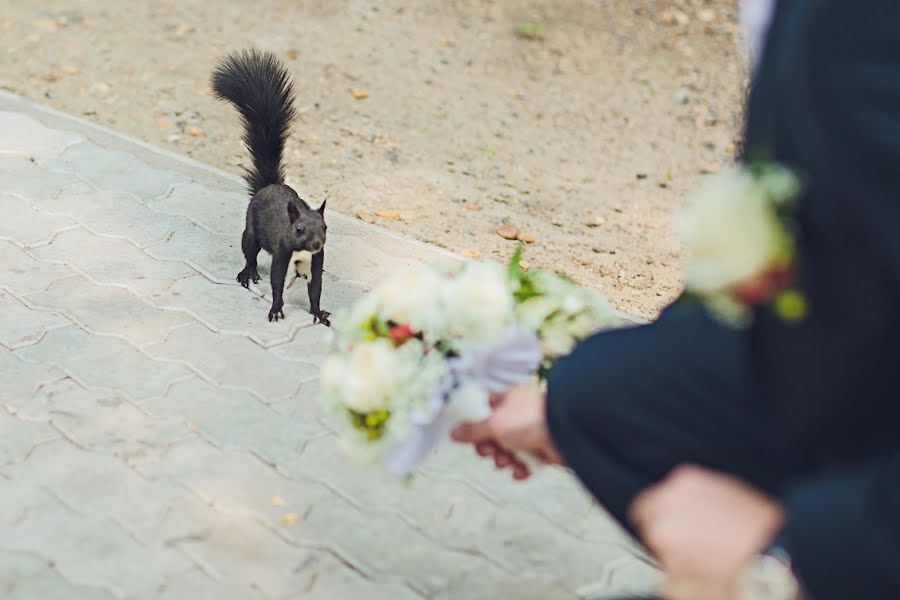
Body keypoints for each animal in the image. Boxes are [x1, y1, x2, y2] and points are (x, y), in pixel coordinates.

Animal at [211, 48, 330, 326]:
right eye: (298, 229)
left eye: (325, 228)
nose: (316, 243)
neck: (302, 254)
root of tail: (268, 186)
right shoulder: (282, 254)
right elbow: (277, 283)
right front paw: (276, 309)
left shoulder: (316, 262)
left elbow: (315, 289)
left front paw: (319, 312)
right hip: (251, 229)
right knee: (250, 251)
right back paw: (248, 272)